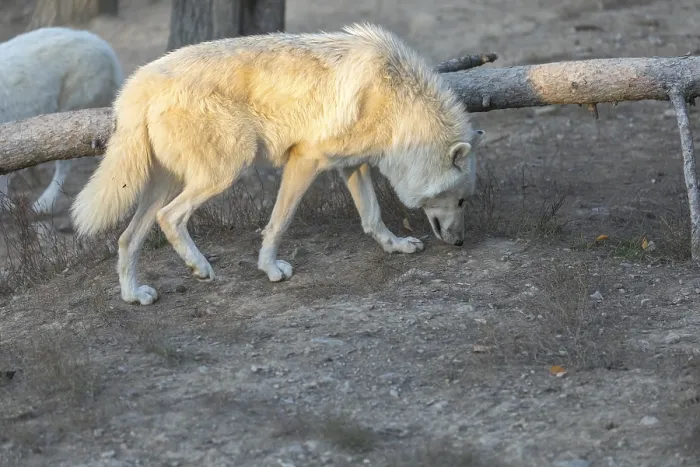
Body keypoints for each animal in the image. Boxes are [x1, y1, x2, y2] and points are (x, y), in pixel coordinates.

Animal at [70, 23, 485, 306]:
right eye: (462, 200)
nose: (461, 242)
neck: (399, 109)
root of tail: (138, 83)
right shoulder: (305, 159)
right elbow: (279, 222)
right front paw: (271, 270)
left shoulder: (351, 165)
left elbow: (373, 217)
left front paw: (396, 246)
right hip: (226, 169)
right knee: (168, 218)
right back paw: (199, 268)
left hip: (166, 182)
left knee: (127, 237)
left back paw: (134, 295)